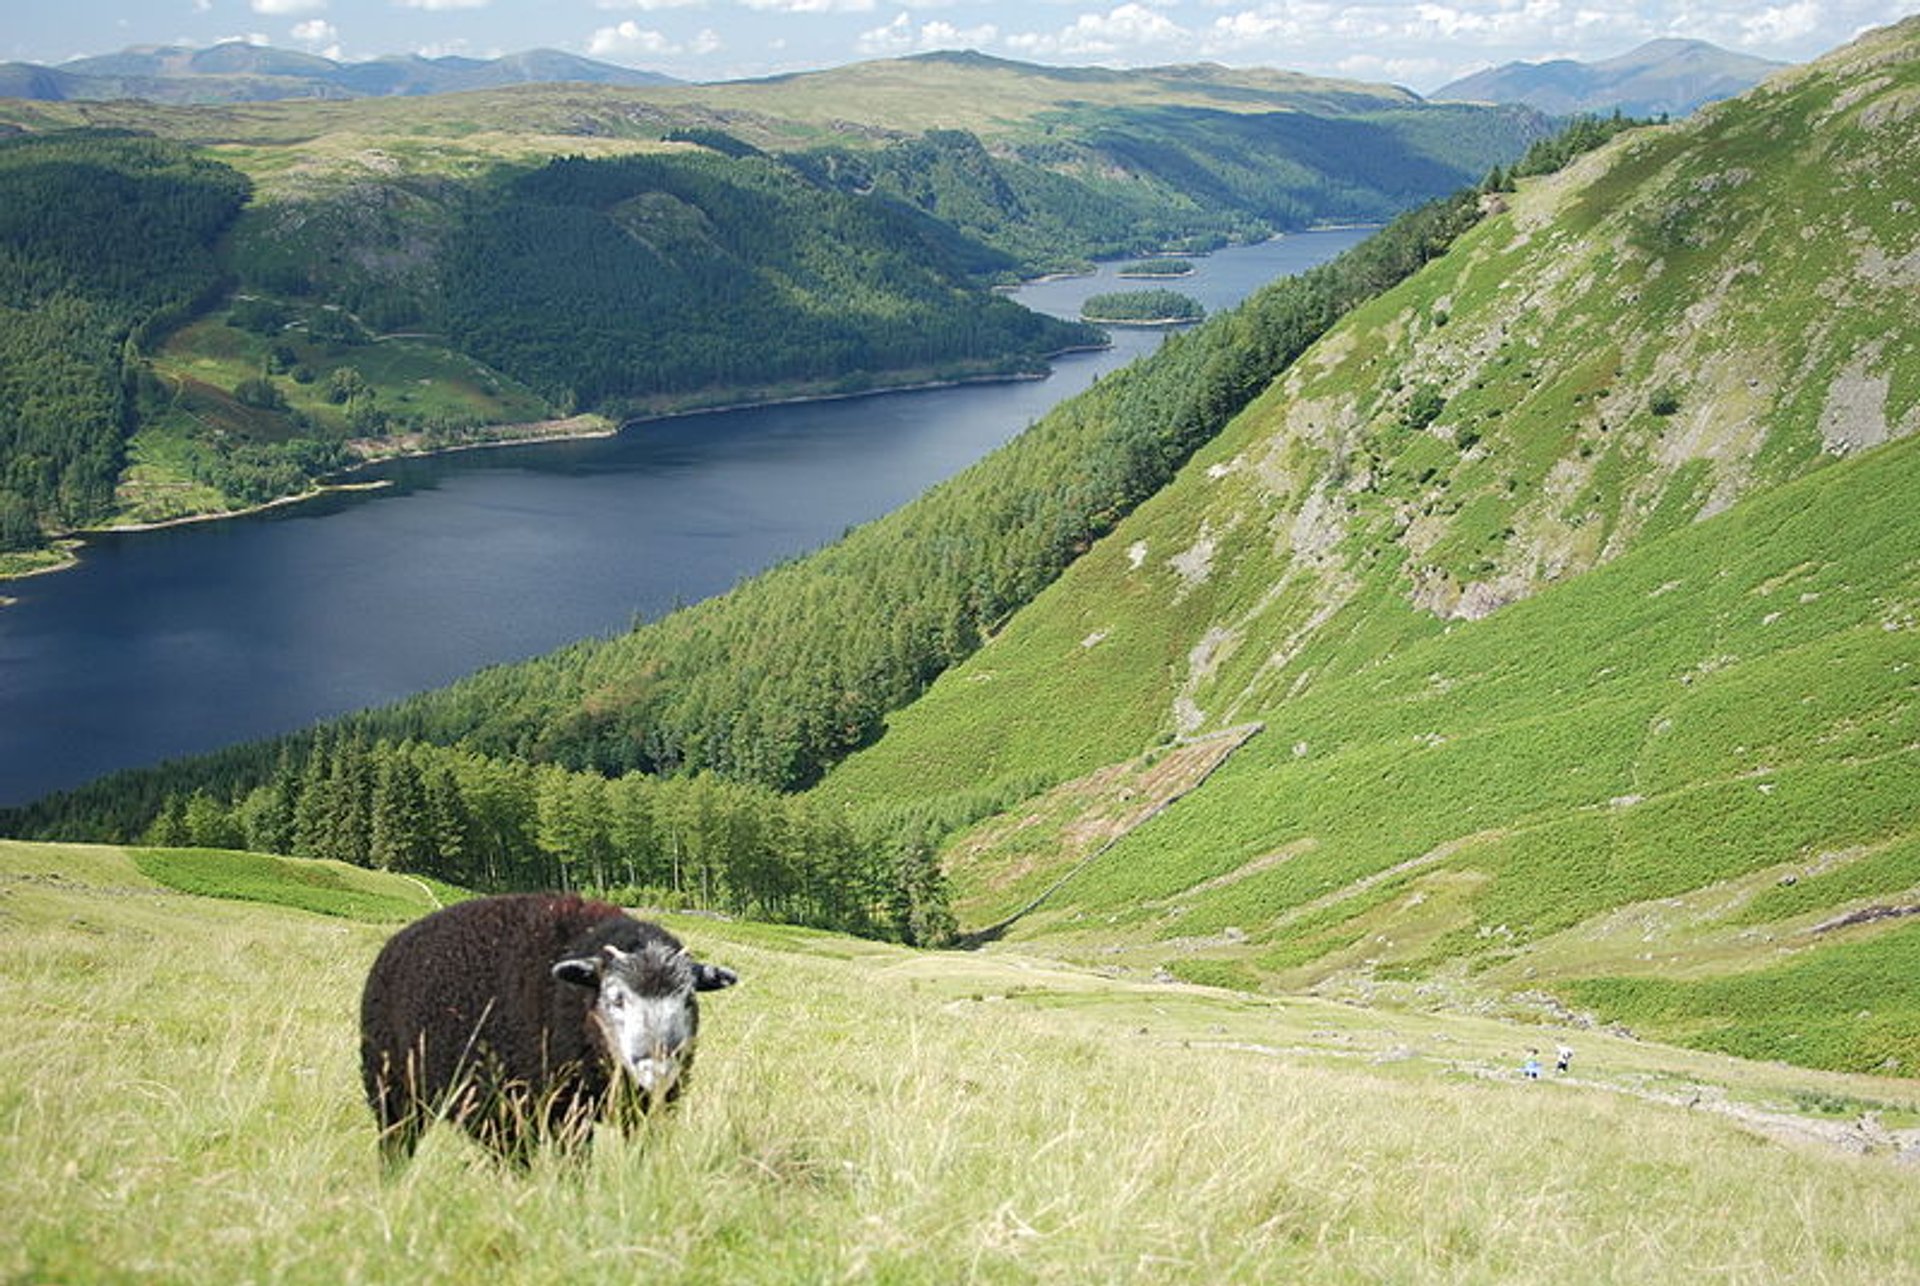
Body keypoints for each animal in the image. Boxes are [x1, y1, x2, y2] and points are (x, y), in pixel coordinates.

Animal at [360, 898, 741, 1166]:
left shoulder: (645, 1112)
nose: (659, 1067)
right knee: (398, 1144)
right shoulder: (563, 1112)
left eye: (688, 998)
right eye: (616, 998)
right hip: (393, 1091)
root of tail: (395, 942)